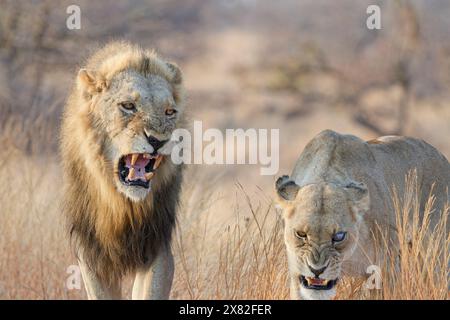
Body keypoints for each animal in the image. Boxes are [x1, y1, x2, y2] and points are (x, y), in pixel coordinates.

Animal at [60, 41, 185, 298]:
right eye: (128, 106)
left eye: (170, 112)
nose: (157, 140)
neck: (123, 205)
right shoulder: (91, 253)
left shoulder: (157, 246)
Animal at [276, 130, 448, 300]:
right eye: (301, 234)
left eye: (339, 236)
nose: (316, 270)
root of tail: (441, 155)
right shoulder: (297, 273)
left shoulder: (385, 268)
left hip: (435, 253)